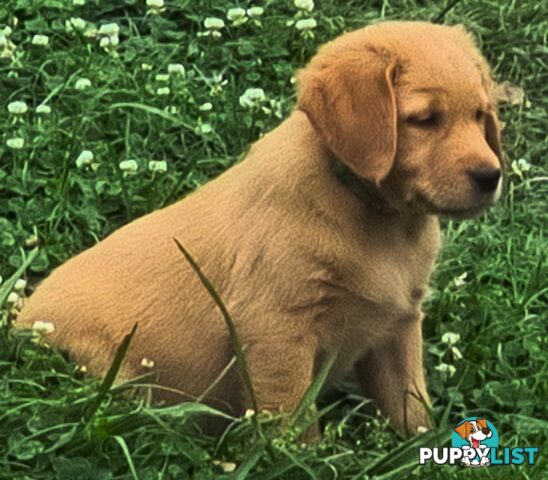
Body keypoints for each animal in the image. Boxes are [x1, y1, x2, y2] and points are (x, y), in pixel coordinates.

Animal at [17, 21, 504, 436]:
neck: (376, 214)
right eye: (424, 119)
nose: (491, 175)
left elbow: (412, 409)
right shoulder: (277, 331)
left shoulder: (397, 328)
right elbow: (294, 426)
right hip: (111, 372)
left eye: (481, 116)